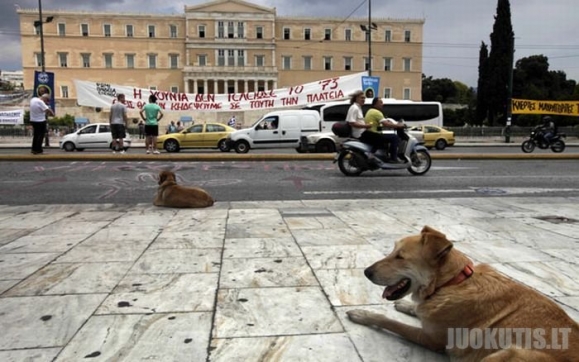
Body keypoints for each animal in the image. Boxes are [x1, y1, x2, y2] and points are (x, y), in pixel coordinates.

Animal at [346, 226, 576, 362]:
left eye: (400, 257)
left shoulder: (431, 339)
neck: (450, 283)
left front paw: (363, 315)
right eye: (392, 251)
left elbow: (391, 322)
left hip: (510, 353)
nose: (366, 272)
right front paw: (408, 306)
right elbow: (417, 309)